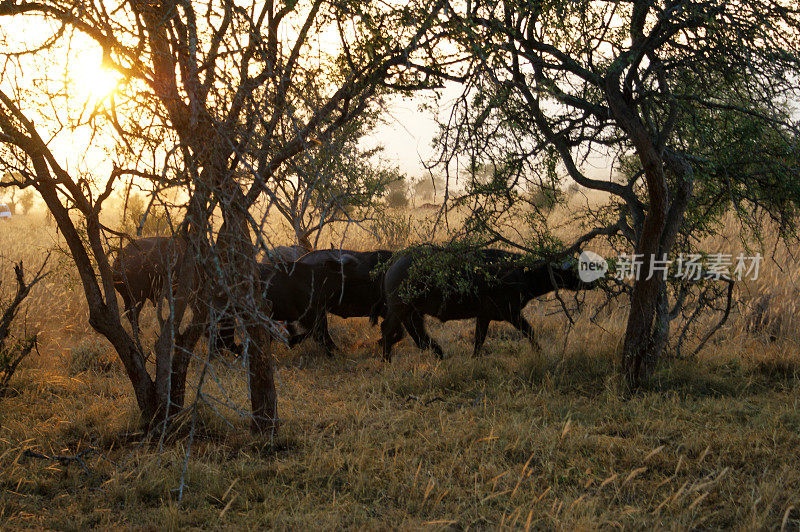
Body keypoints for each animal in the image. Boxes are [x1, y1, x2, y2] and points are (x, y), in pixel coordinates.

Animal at [372, 249, 592, 362]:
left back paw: (438, 353)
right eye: (574, 269)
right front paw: (540, 353)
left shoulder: (484, 316)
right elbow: (530, 331)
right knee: (388, 329)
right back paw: (387, 359)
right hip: (400, 308)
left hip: (413, 312)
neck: (522, 272)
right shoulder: (511, 313)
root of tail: (393, 262)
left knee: (418, 333)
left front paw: (475, 358)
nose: (594, 281)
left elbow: (479, 339)